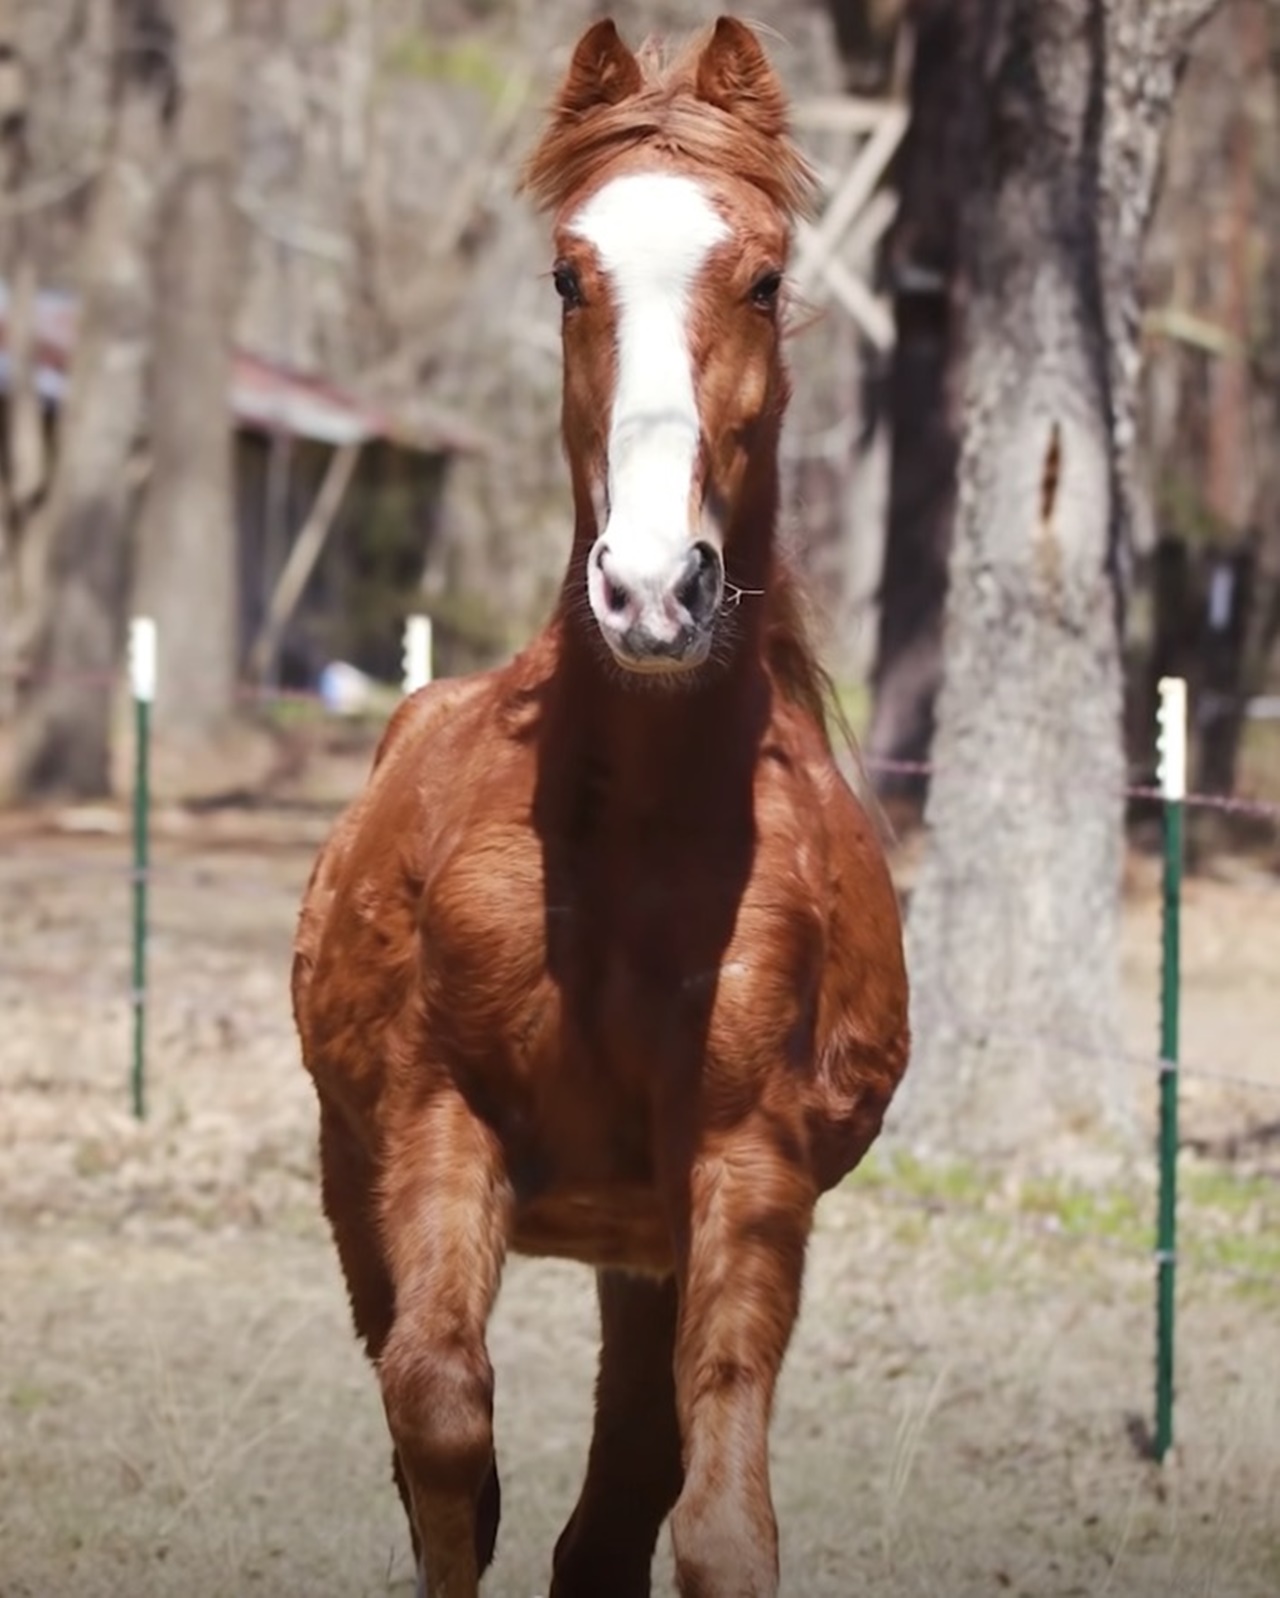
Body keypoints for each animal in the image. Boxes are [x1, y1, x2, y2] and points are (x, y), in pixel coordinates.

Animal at [290, 15, 907, 1598]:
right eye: (570, 273)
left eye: (765, 276)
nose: (648, 590)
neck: (629, 844)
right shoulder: (435, 1122)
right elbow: (444, 1427)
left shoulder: (746, 1173)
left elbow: (714, 1527)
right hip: (352, 1174)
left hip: (647, 1246)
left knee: (620, 1497)